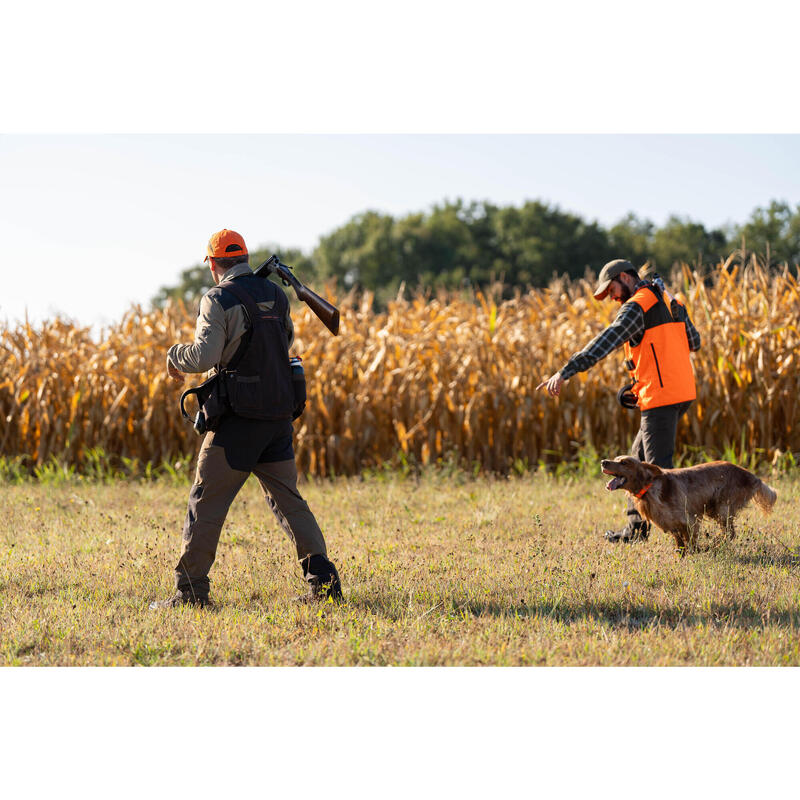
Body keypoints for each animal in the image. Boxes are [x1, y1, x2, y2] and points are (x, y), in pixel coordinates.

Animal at [600, 456, 776, 556]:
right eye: (616, 458)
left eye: (624, 462)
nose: (603, 462)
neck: (649, 487)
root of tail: (752, 476)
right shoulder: (671, 523)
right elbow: (679, 540)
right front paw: (681, 553)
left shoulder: (689, 520)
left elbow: (690, 540)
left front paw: (695, 552)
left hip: (721, 508)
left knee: (730, 534)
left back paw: (713, 545)